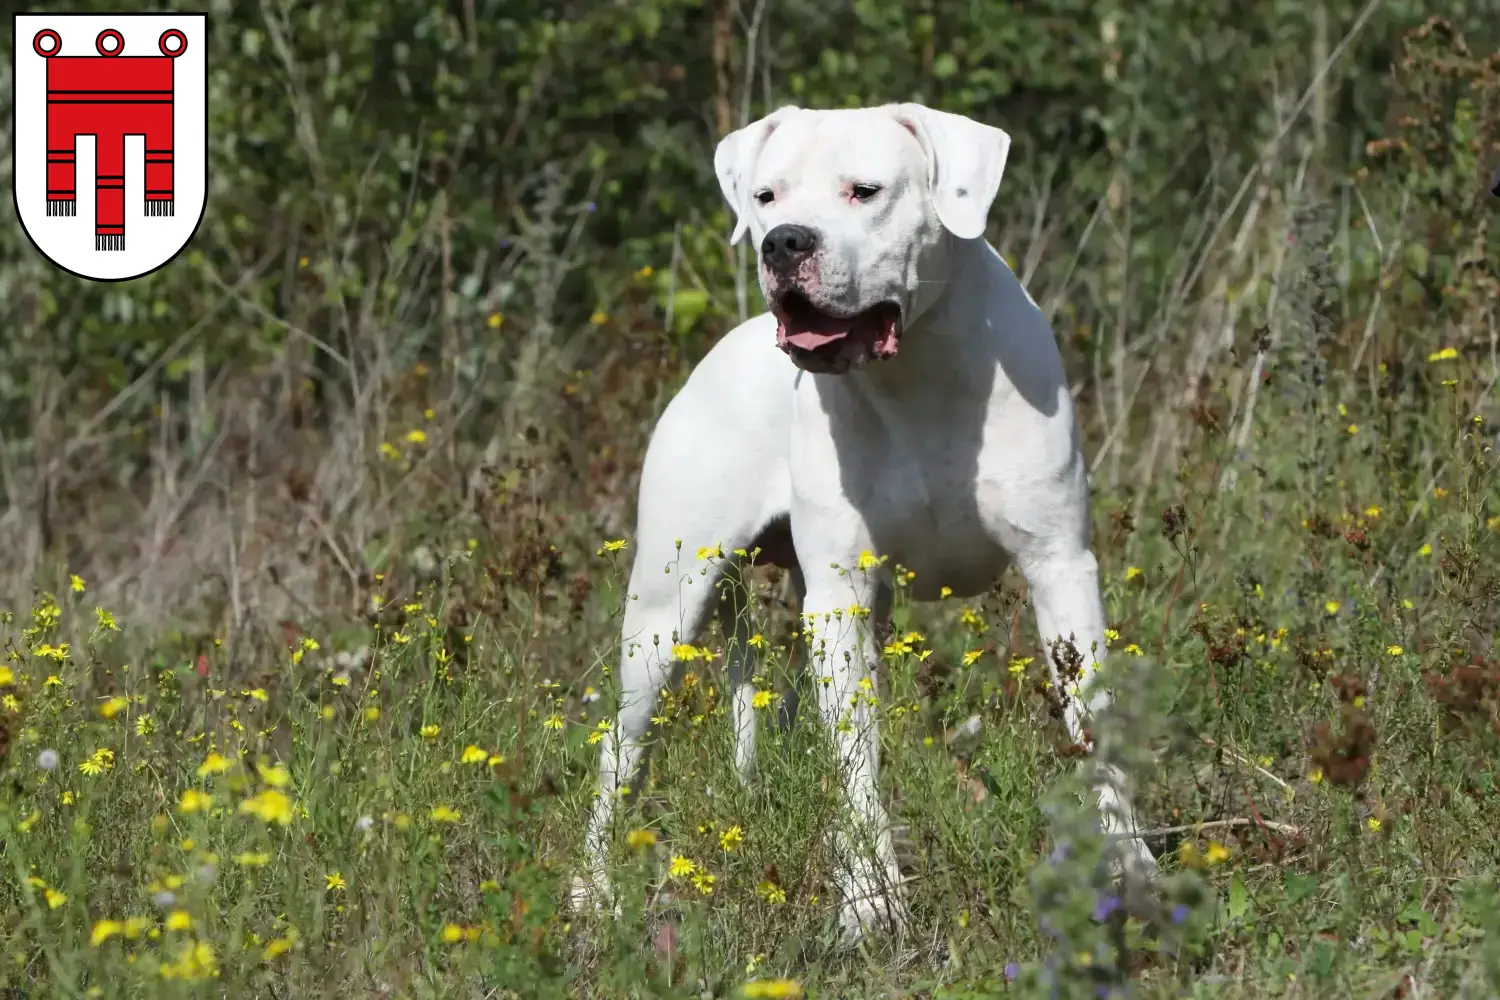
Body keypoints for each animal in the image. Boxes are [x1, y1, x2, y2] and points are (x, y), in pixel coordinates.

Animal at [573, 99, 1158, 941]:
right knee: (621, 751)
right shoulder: (841, 599)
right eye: (766, 197)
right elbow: (856, 760)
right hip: (663, 613)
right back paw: (593, 891)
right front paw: (871, 900)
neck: (918, 373)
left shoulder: (1061, 571)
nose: (785, 242)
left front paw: (1129, 872)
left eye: (865, 191)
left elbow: (1093, 725)